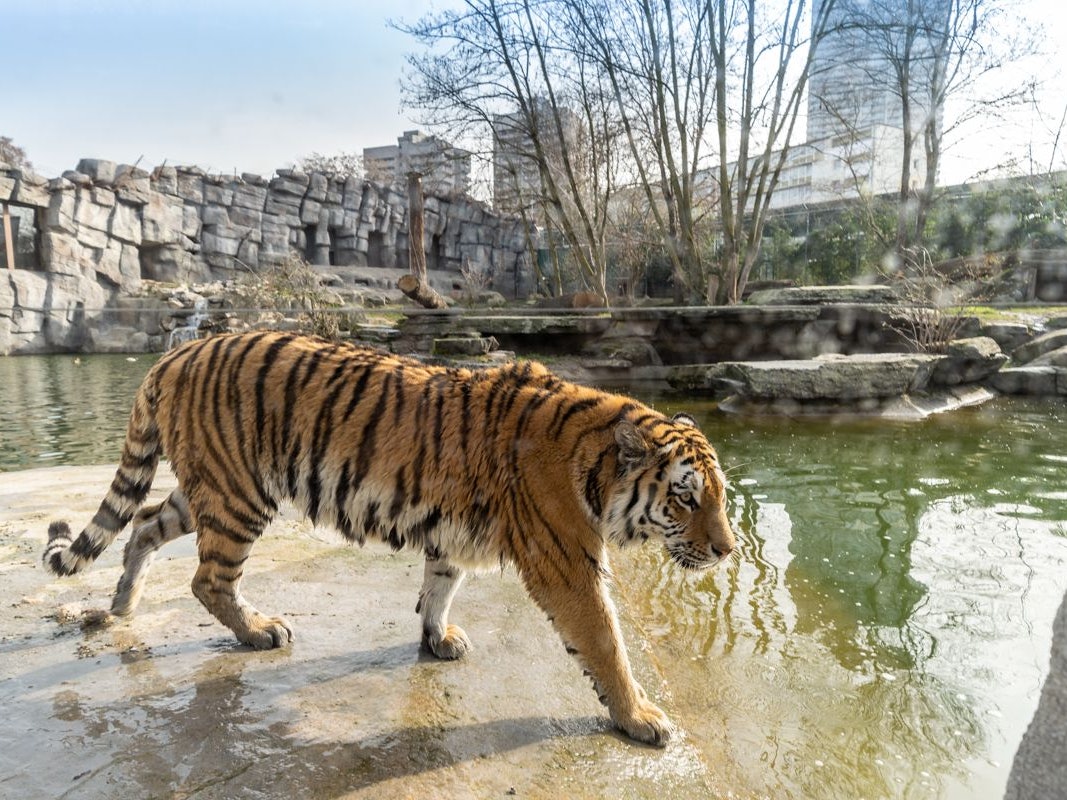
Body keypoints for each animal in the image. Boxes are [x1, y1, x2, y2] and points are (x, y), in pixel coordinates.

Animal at [42, 331, 735, 745]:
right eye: (686, 497)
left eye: (721, 496)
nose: (728, 550)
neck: (592, 465)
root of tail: (177, 351)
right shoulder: (565, 562)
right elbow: (606, 643)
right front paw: (640, 717)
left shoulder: (454, 534)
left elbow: (440, 585)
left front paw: (437, 640)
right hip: (239, 493)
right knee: (208, 578)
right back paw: (259, 630)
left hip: (208, 487)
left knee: (141, 525)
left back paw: (122, 605)